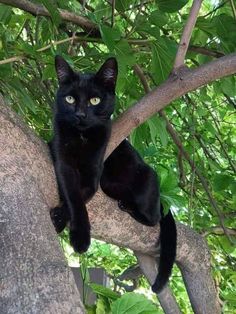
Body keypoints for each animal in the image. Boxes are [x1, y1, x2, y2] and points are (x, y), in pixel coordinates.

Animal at [49, 55, 117, 253]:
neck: (82, 136)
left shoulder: (93, 173)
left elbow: (82, 195)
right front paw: (80, 237)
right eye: (70, 99)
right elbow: (74, 196)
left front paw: (60, 219)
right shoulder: (64, 163)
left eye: (94, 100)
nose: (80, 114)